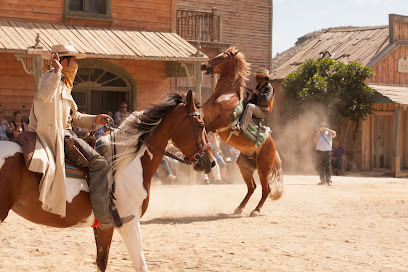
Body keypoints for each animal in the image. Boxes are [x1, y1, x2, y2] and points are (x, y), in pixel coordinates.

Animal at [0, 91, 215, 272]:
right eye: (201, 125)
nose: (211, 161)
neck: (127, 164)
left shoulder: (105, 227)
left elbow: (101, 262)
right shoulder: (129, 223)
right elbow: (141, 265)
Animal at [201, 46, 284, 217]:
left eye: (221, 57)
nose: (203, 65)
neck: (224, 95)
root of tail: (273, 148)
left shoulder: (220, 121)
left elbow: (205, 130)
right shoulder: (206, 118)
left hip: (263, 168)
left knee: (266, 189)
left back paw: (256, 210)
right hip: (244, 166)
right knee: (252, 187)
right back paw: (240, 207)